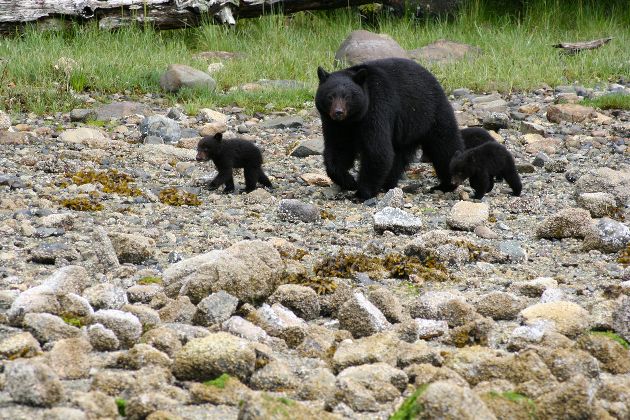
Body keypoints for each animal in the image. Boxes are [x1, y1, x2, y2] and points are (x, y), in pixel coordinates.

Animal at [316, 57, 464, 200]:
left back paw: (446, 185)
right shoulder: (334, 124)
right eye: (330, 96)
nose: (338, 112)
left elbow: (377, 150)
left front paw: (362, 193)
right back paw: (388, 184)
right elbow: (338, 149)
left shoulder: (377, 108)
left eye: (347, 97)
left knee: (445, 147)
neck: (352, 120)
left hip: (431, 113)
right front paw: (349, 182)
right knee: (398, 156)